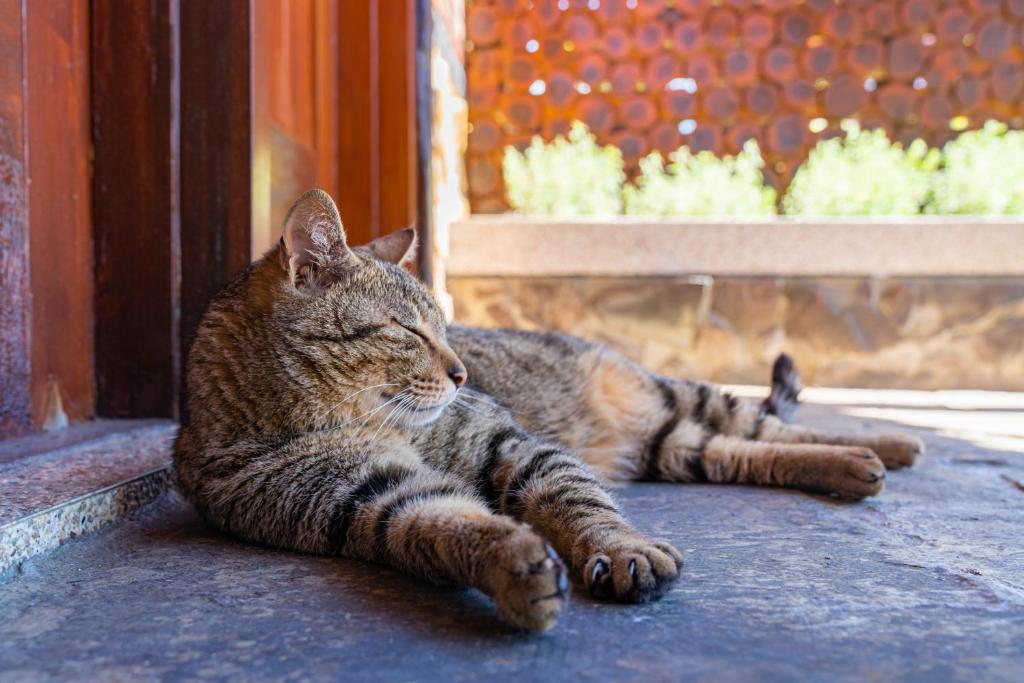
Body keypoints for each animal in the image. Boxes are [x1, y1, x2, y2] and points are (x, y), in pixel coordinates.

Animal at [172, 189, 925, 634]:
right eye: (410, 331)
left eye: (445, 328)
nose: (462, 371)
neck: (345, 420)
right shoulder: (370, 498)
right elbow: (446, 525)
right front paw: (512, 567)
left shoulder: (512, 444)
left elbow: (578, 502)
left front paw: (622, 550)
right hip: (672, 445)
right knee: (739, 451)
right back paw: (856, 466)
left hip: (673, 396)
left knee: (766, 421)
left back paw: (885, 445)